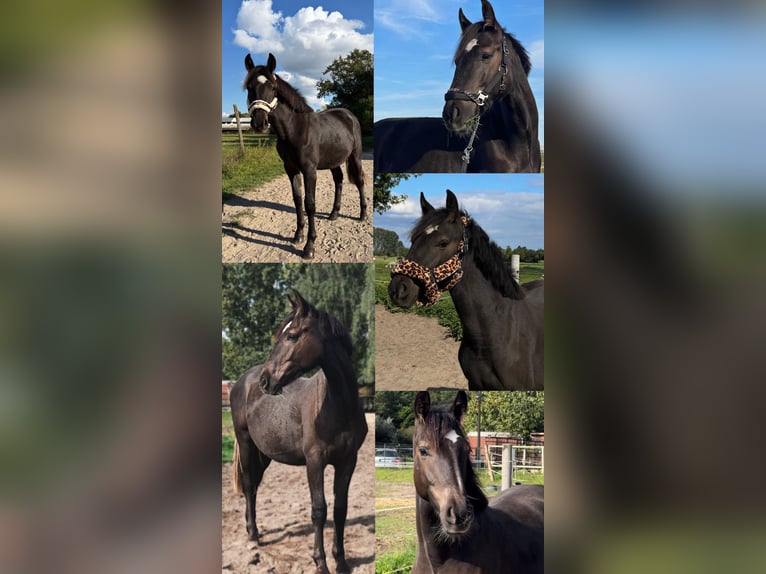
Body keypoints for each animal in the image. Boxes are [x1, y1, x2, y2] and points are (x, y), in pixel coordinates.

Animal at [230, 289, 368, 573]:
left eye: (291, 335)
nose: (266, 380)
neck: (337, 405)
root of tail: (242, 381)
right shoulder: (314, 461)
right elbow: (319, 509)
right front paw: (320, 563)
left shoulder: (348, 460)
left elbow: (340, 509)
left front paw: (341, 561)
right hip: (246, 442)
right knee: (248, 485)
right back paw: (253, 535)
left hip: (264, 453)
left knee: (255, 486)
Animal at [244, 53, 367, 259]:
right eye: (249, 87)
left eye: (273, 88)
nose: (260, 123)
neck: (294, 129)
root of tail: (349, 115)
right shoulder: (290, 169)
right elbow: (297, 200)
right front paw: (298, 236)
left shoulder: (309, 170)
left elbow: (310, 204)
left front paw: (309, 247)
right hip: (333, 160)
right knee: (339, 180)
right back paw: (334, 214)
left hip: (355, 157)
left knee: (360, 181)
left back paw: (363, 215)